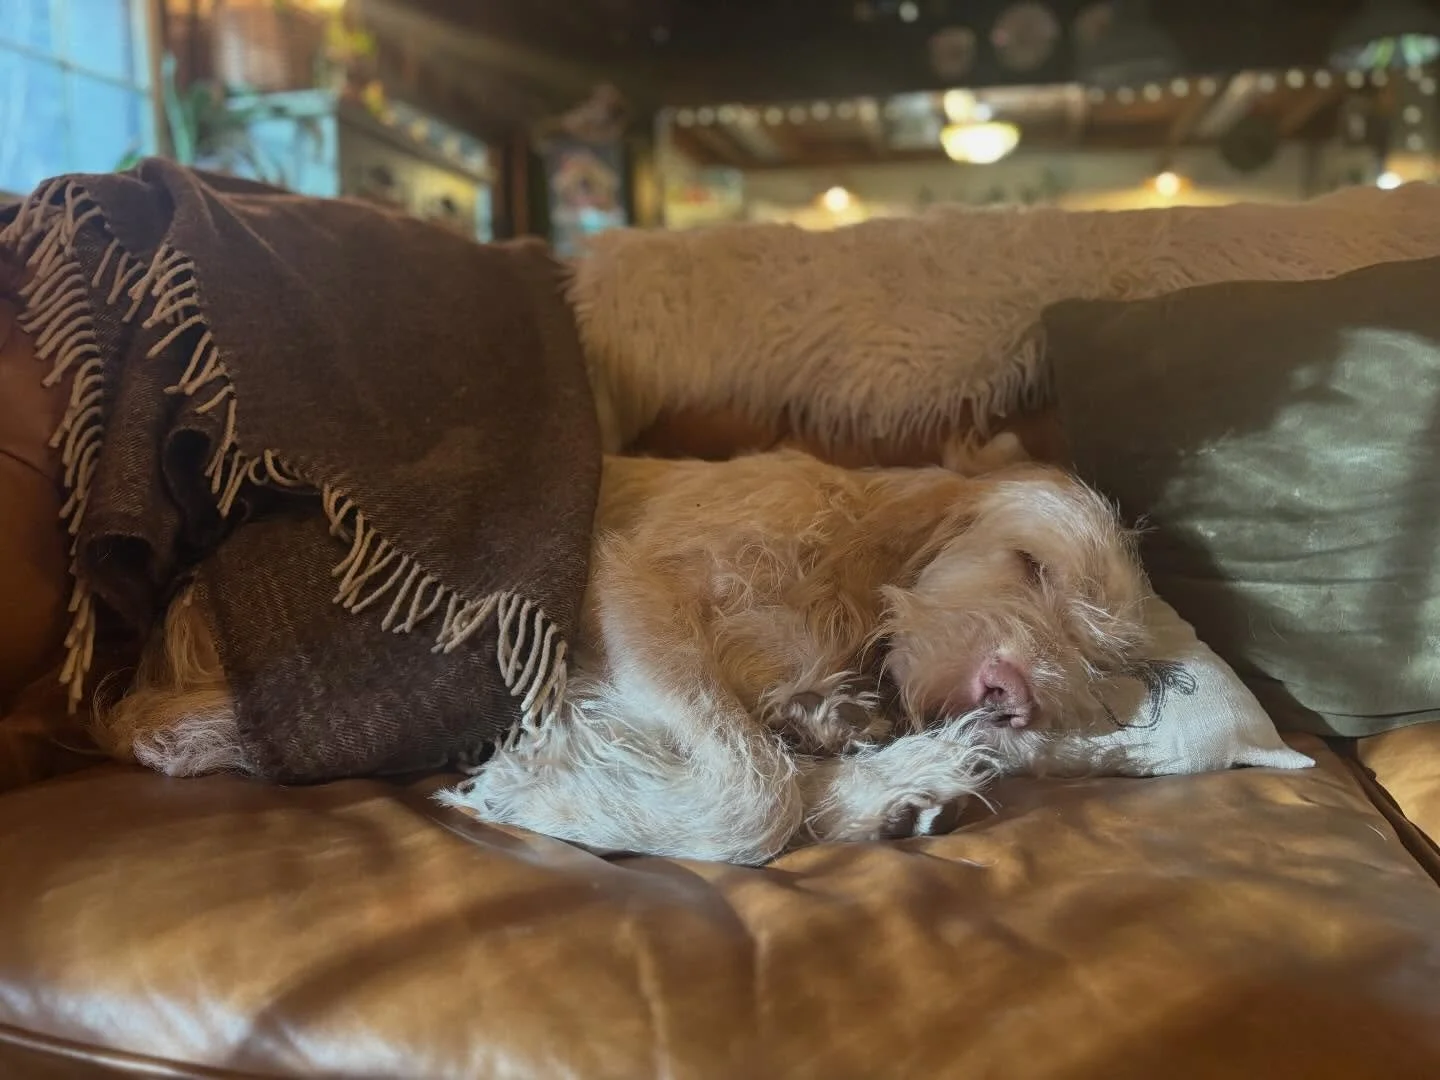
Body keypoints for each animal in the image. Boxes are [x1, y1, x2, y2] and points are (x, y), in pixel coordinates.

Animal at [96, 448, 1151, 864]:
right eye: (1029, 563)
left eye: (1097, 654)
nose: (1010, 693)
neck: (847, 577)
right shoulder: (623, 587)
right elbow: (752, 794)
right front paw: (547, 795)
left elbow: (765, 760)